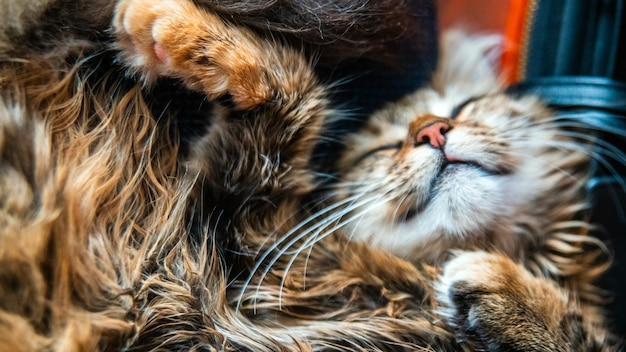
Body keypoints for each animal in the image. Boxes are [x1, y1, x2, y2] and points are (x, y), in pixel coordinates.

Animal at [0, 0, 616, 350]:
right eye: (384, 147)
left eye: (462, 108)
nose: (433, 132)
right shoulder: (234, 226)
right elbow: (293, 86)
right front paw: (171, 26)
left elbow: (581, 334)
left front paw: (511, 292)